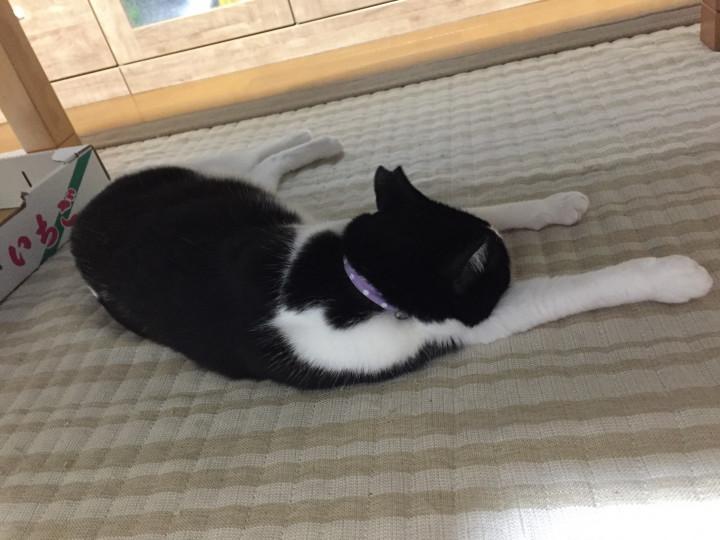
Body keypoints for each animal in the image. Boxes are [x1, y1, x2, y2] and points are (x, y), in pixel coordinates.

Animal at [71, 131, 713, 389]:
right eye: (500, 271)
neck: (352, 279)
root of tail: (83, 218)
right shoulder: (467, 324)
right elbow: (578, 287)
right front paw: (677, 275)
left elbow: (491, 210)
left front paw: (552, 204)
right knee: (256, 161)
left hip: (240, 185)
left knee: (262, 158)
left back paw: (312, 139)